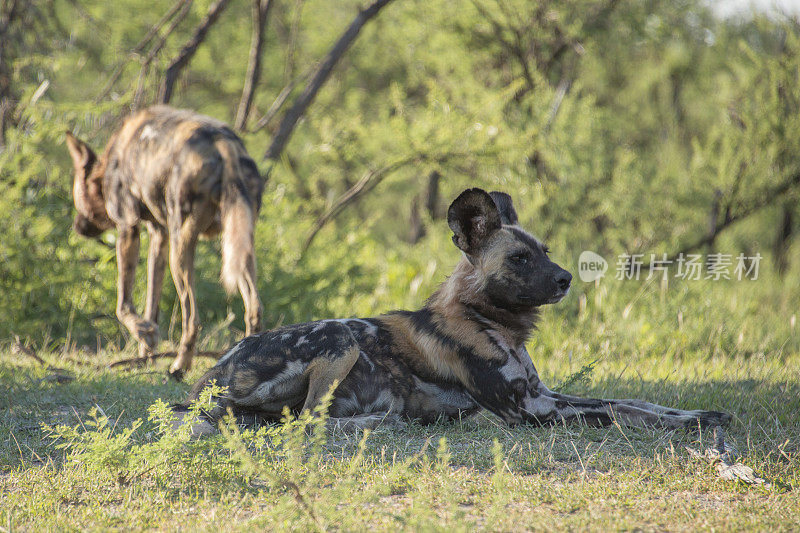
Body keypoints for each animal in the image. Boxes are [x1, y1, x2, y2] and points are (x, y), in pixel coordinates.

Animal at [65, 105, 264, 378]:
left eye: (77, 196)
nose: (77, 226)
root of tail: (223, 142)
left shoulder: (128, 228)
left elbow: (123, 304)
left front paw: (144, 334)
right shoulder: (159, 235)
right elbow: (152, 303)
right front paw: (145, 352)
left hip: (180, 252)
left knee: (192, 318)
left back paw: (179, 367)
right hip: (238, 247)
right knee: (254, 307)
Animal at [178, 187, 728, 432]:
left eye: (546, 250)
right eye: (519, 258)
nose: (566, 279)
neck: (492, 324)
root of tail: (208, 378)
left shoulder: (544, 394)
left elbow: (636, 402)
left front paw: (697, 415)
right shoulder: (528, 410)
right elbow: (614, 409)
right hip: (339, 336)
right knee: (308, 421)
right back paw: (380, 423)